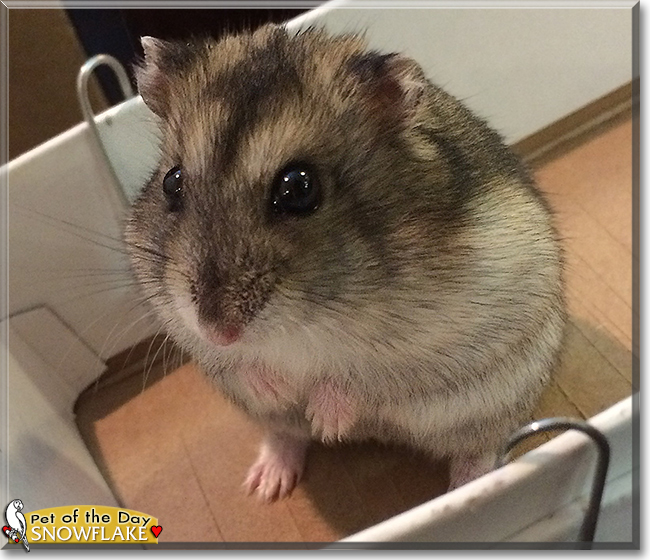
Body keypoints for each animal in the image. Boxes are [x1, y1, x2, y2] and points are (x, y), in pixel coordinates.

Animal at [125, 24, 566, 502]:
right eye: (172, 182)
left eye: (299, 188)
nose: (218, 332)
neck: (305, 325)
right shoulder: (188, 333)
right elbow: (243, 366)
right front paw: (282, 391)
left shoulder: (434, 339)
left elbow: (360, 377)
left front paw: (327, 421)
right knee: (284, 434)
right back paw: (266, 485)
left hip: (496, 404)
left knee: (481, 448)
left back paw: (468, 490)